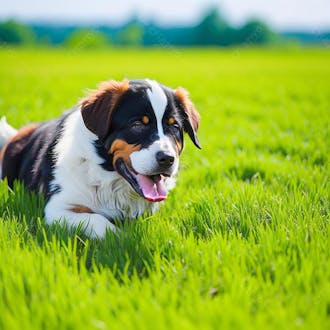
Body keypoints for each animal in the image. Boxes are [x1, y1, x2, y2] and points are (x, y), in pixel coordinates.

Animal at [0, 81, 200, 238]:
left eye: (174, 126)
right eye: (137, 125)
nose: (167, 159)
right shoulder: (58, 208)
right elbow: (98, 220)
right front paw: (121, 239)